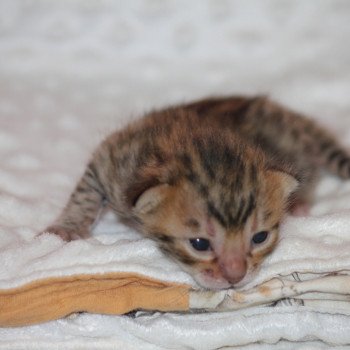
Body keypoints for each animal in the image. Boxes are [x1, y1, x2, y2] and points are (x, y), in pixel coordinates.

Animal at [43, 95, 350, 290]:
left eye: (259, 237)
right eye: (200, 244)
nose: (235, 276)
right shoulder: (111, 159)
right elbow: (85, 194)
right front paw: (67, 228)